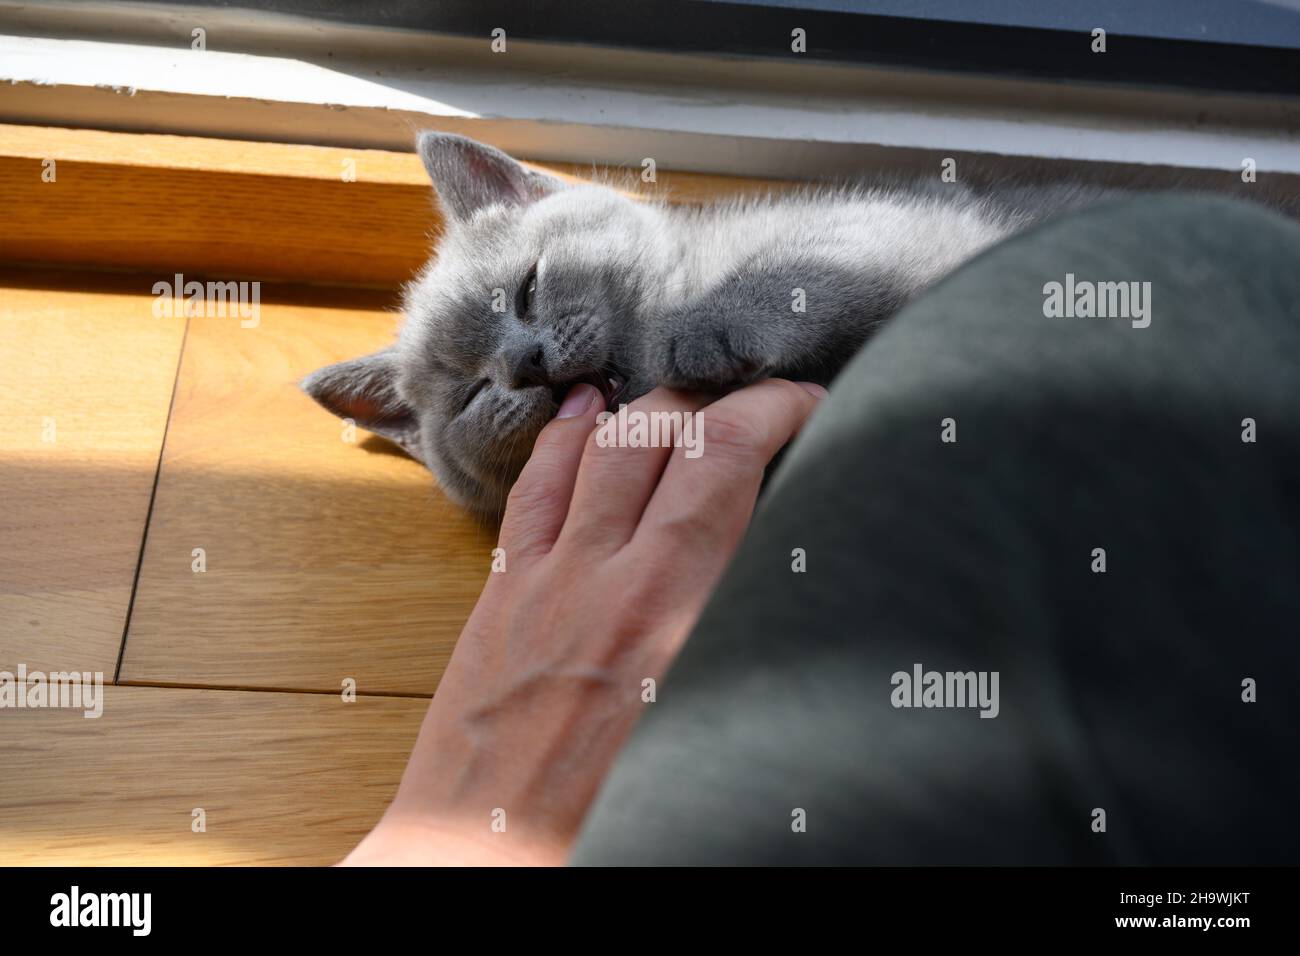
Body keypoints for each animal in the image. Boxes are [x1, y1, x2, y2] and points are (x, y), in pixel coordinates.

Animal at [301, 132, 1118, 515]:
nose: (525, 364)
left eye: (528, 291)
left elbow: (799, 270)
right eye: (473, 395)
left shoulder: (895, 223)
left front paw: (709, 330)